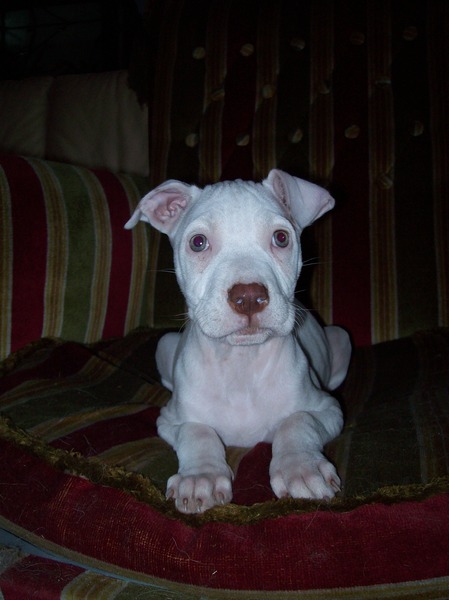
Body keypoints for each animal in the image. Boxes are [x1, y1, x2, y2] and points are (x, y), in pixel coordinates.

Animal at [125, 169, 351, 514]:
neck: (241, 364)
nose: (248, 297)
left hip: (341, 341)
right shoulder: (170, 420)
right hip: (164, 346)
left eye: (281, 238)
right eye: (198, 242)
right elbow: (197, 430)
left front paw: (301, 468)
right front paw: (200, 477)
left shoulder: (328, 409)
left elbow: (298, 420)